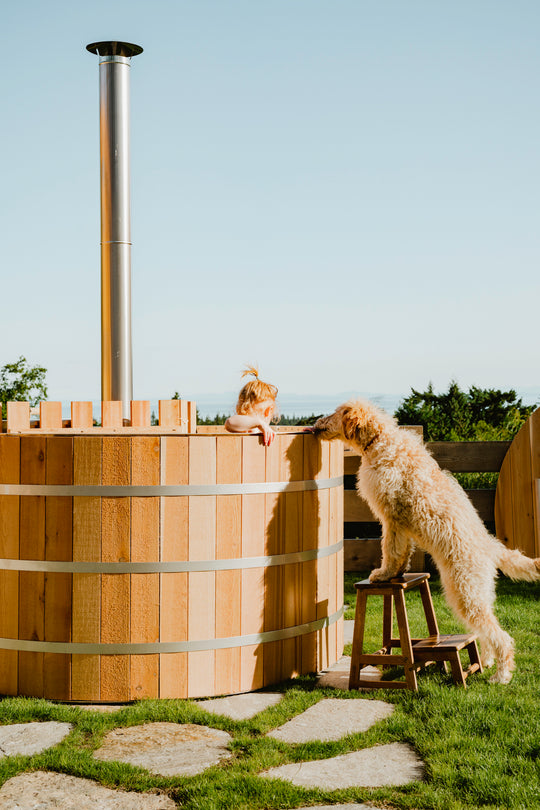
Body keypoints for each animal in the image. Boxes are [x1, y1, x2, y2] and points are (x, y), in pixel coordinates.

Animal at [314, 398, 540, 680]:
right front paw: (396, 572)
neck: (380, 440)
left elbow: (390, 549)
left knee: (502, 637)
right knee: (486, 631)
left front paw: (383, 574)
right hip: (479, 593)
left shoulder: (392, 517)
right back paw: (486, 662)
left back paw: (501, 676)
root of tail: (491, 546)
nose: (316, 424)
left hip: (466, 591)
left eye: (336, 412)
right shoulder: (400, 524)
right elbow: (402, 552)